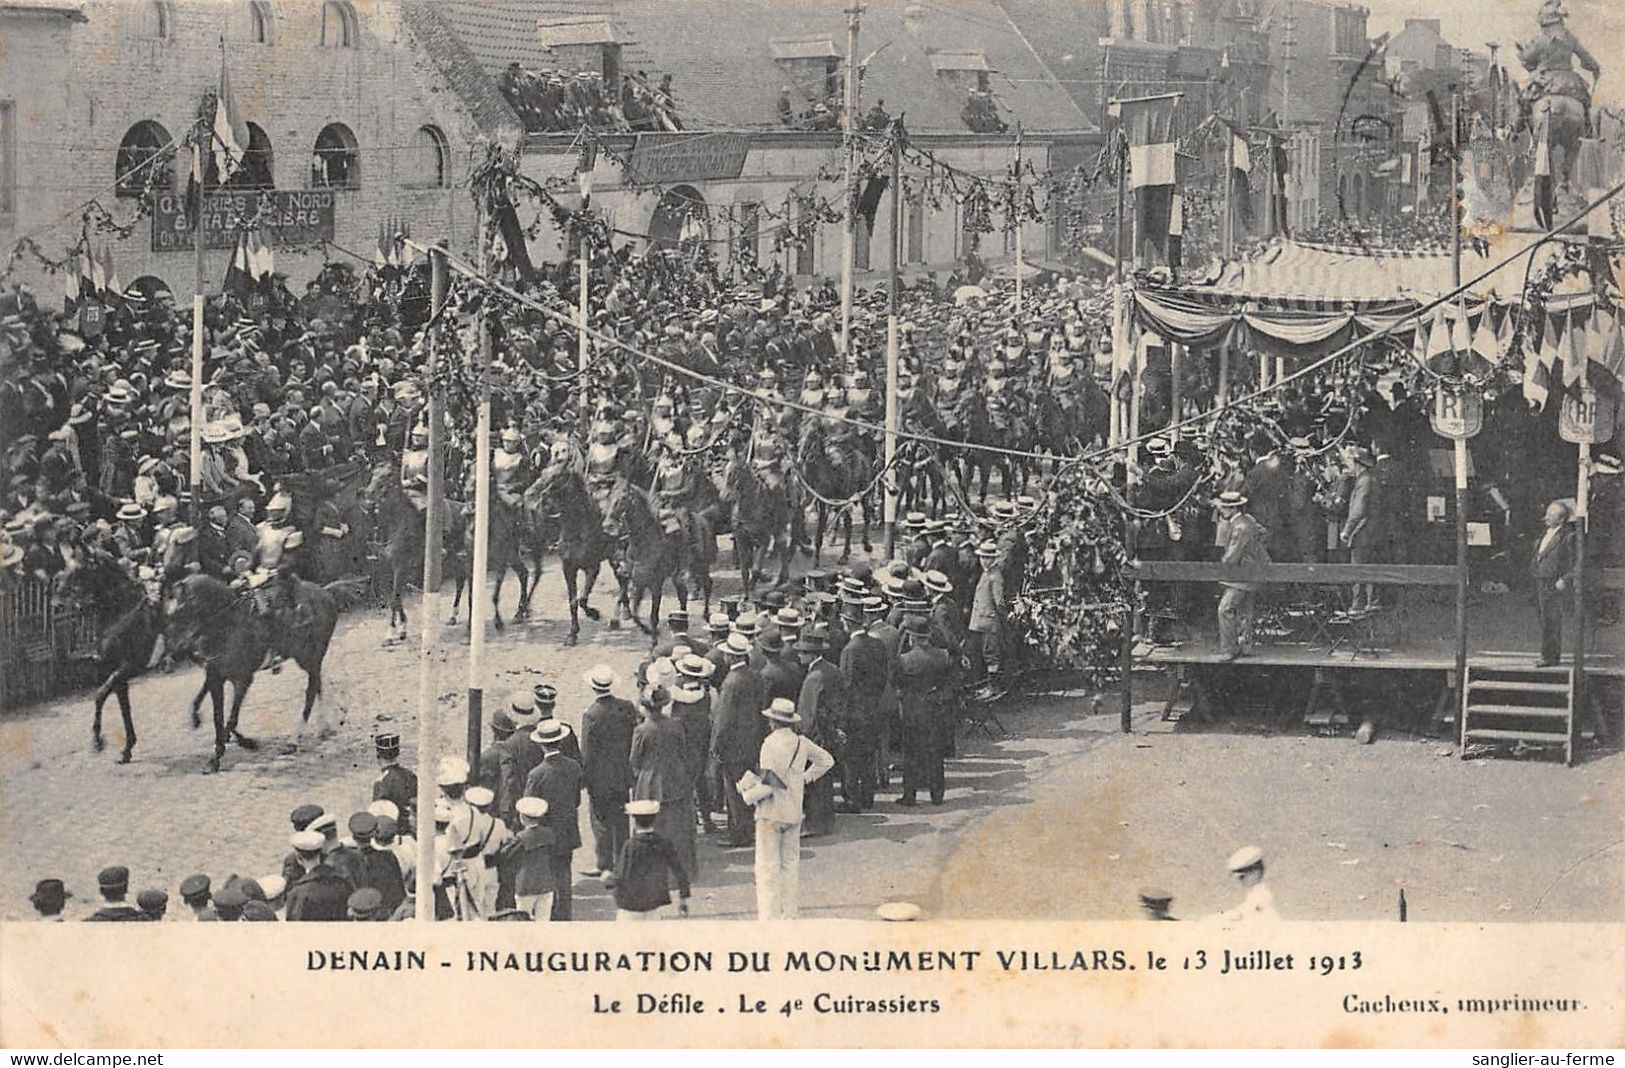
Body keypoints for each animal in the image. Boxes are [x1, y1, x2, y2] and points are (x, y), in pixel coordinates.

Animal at [164, 572, 355, 770]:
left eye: (181, 610)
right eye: (167, 613)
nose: (175, 650)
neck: (229, 624)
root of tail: (326, 593)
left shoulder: (243, 679)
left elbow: (231, 719)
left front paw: (224, 753)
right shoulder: (215, 677)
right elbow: (218, 718)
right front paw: (222, 745)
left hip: (310, 658)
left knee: (310, 692)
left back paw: (294, 740)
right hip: (310, 660)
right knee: (318, 686)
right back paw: (325, 727)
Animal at [523, 458, 611, 640]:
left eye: (556, 476)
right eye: (543, 472)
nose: (533, 498)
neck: (578, 530)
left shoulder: (593, 567)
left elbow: (582, 599)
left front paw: (594, 614)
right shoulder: (568, 568)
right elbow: (573, 601)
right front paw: (572, 633)